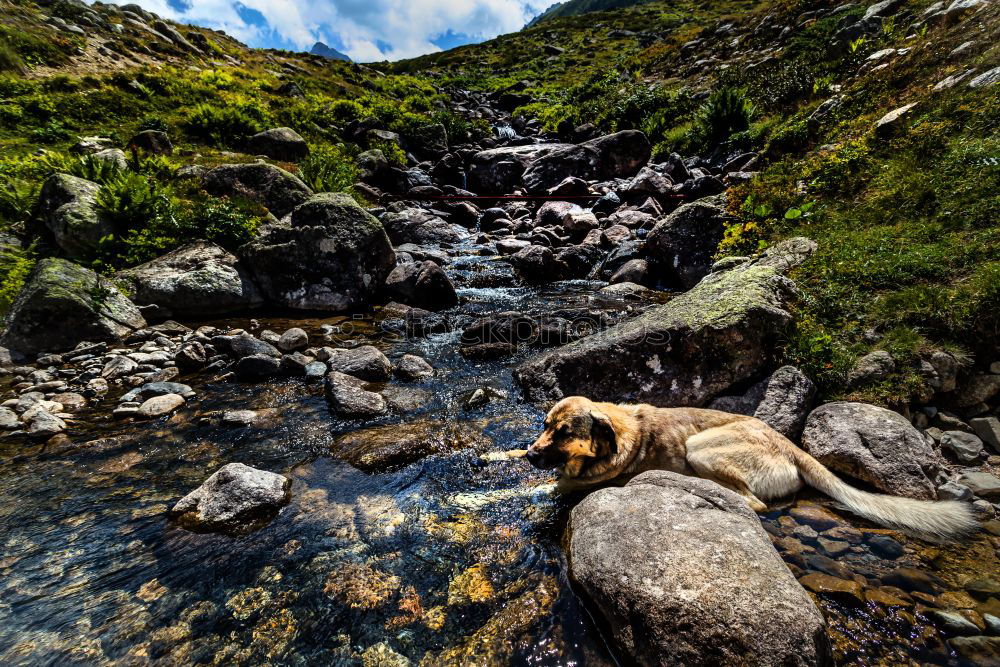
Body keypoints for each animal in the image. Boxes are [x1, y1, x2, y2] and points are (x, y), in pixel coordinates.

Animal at [520, 394, 972, 540]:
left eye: (563, 433)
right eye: (544, 426)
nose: (528, 456)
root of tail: (789, 444)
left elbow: (541, 489)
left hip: (700, 448)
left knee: (753, 504)